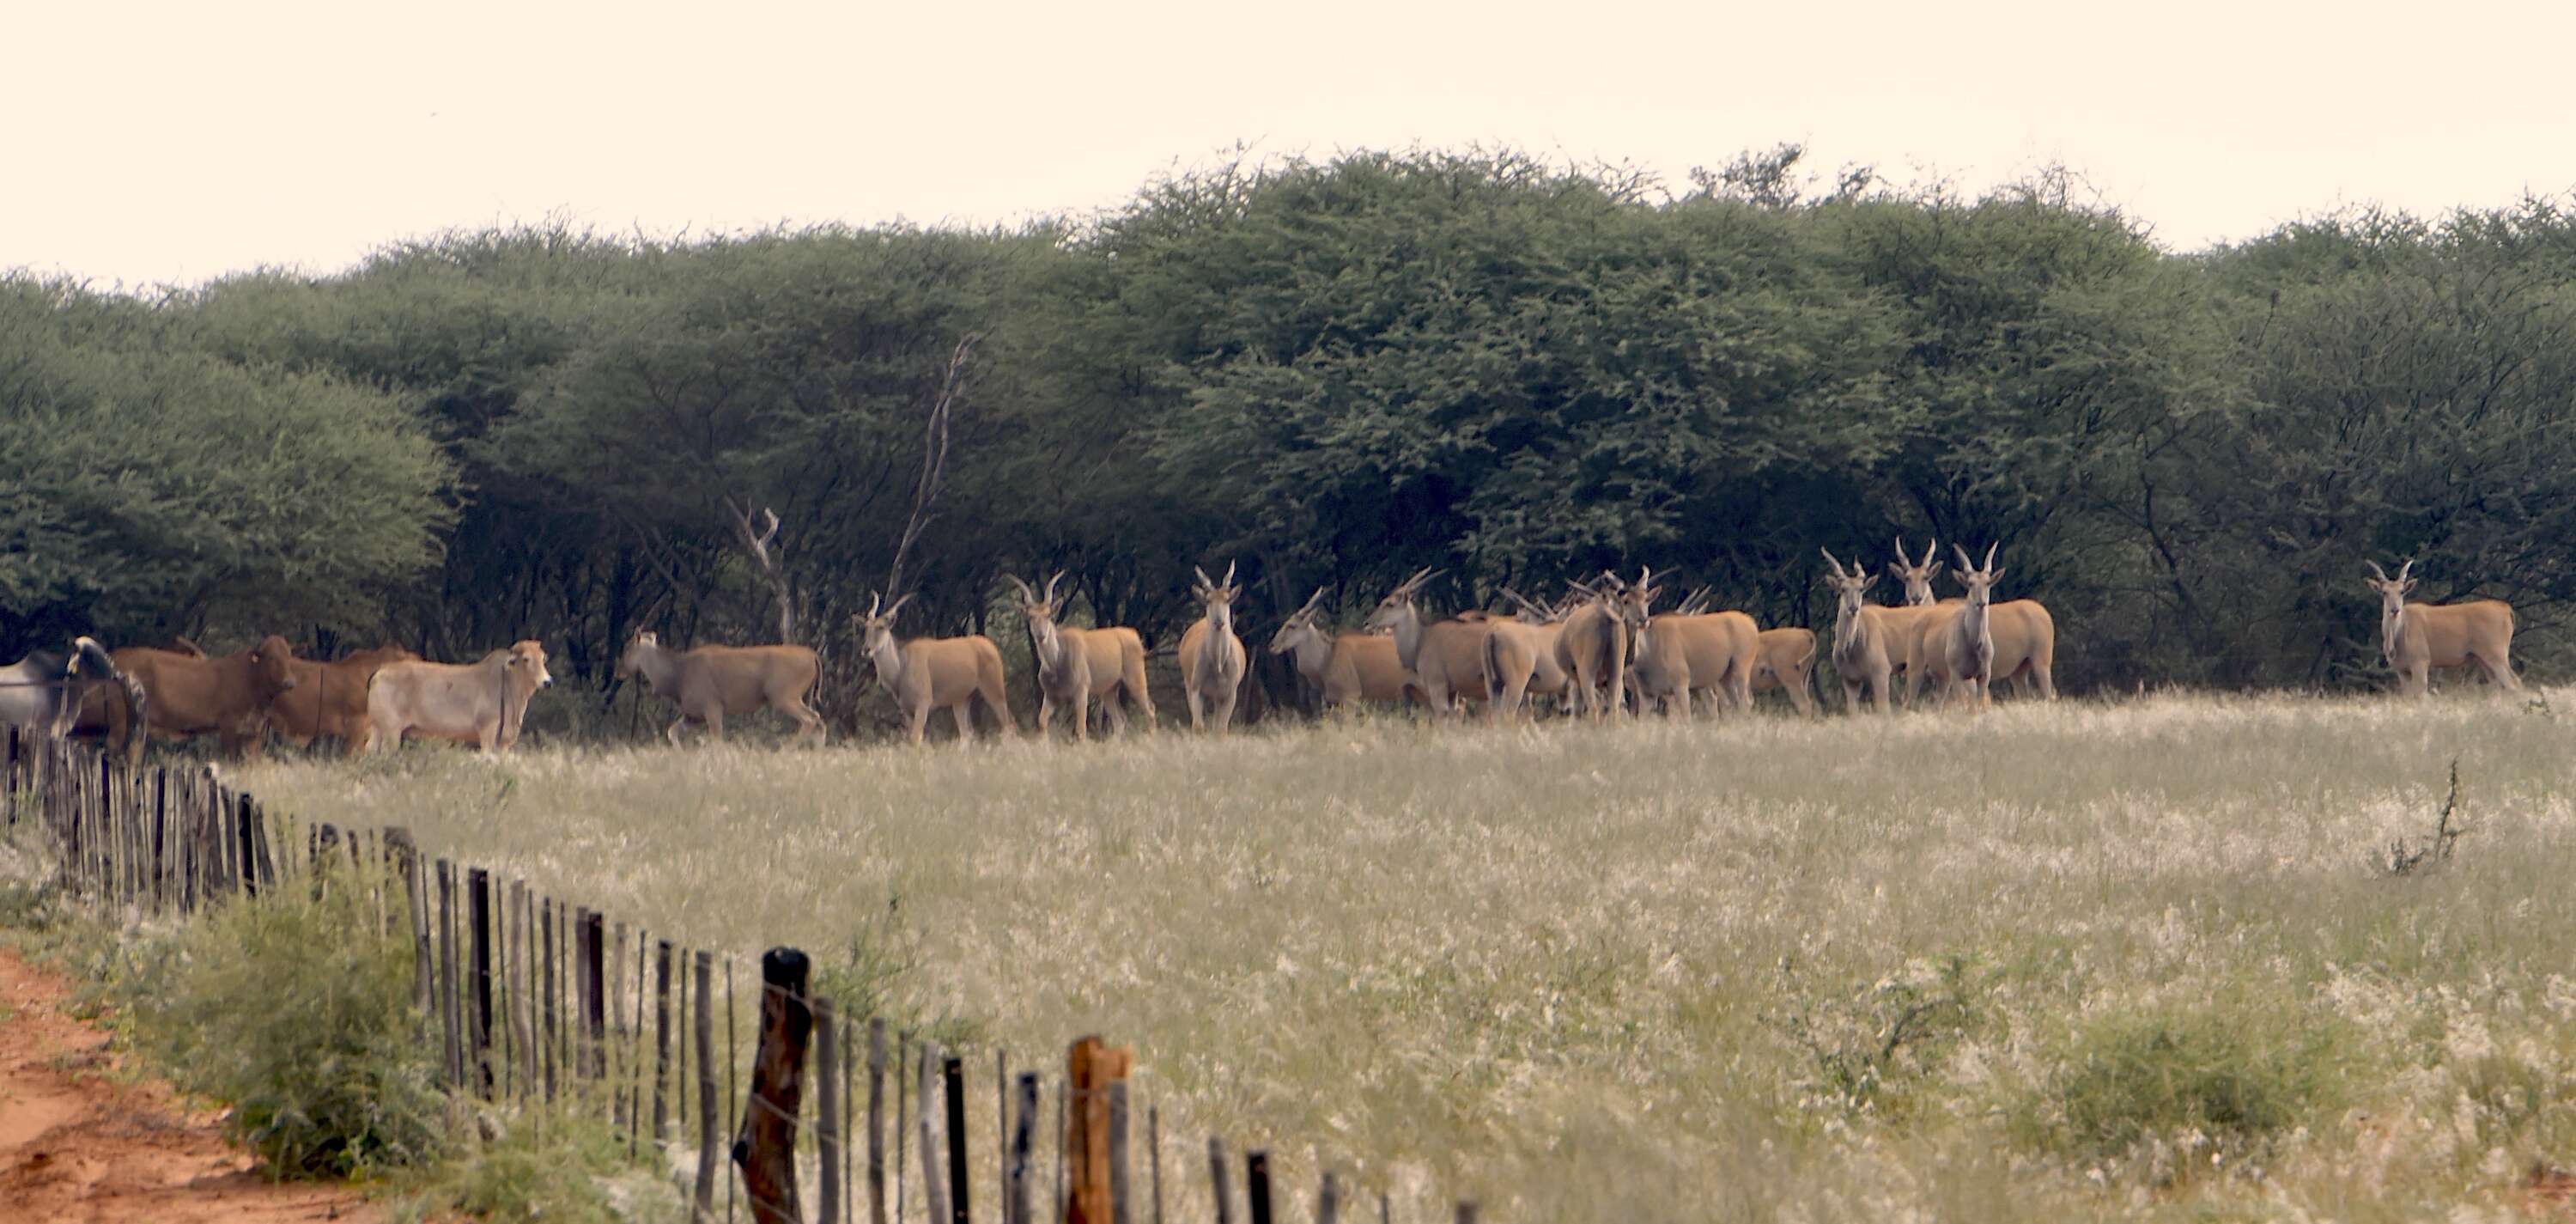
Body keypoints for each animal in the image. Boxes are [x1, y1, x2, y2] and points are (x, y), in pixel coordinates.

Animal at [366, 642, 551, 758]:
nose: (547, 681)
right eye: (526, 659)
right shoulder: (487, 731)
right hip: (391, 731)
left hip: (377, 728)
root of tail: (380, 671)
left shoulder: (505, 742)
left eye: (542, 658)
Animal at [616, 631, 824, 747]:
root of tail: (812, 655)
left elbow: (717, 742)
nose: (618, 672)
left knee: (810, 719)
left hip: (785, 698)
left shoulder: (713, 710)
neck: (680, 670)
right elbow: (671, 732)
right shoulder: (693, 716)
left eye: (627, 648)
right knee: (819, 721)